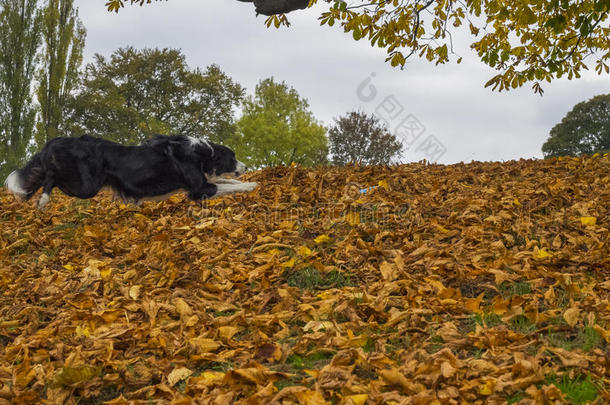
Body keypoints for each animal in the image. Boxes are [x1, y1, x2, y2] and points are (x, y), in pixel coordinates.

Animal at [2, 135, 254, 207]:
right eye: (233, 157)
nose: (246, 167)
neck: (202, 154)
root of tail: (57, 141)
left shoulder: (202, 181)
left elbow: (229, 183)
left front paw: (248, 182)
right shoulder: (198, 189)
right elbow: (223, 186)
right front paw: (251, 184)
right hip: (85, 187)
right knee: (51, 177)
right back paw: (43, 199)